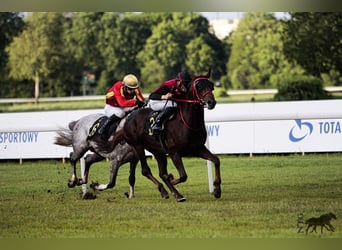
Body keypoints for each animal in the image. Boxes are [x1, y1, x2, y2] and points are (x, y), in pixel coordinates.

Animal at [104, 69, 222, 202]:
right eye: (199, 86)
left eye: (211, 86)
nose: (211, 102)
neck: (187, 122)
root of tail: (127, 119)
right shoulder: (174, 152)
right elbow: (183, 176)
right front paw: (173, 180)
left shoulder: (198, 148)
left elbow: (216, 160)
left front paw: (217, 190)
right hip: (138, 146)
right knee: (146, 170)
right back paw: (169, 192)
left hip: (157, 150)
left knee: (161, 173)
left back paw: (170, 192)